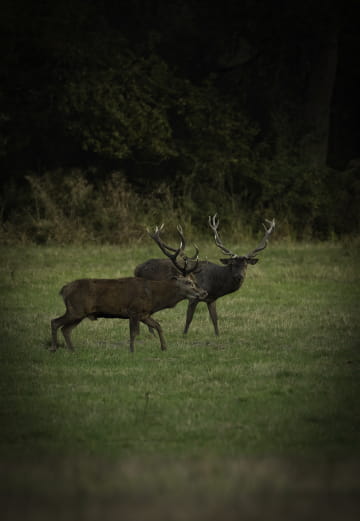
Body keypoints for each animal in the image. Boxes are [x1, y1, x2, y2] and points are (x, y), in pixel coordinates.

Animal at [51, 225, 207, 352]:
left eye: (194, 280)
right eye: (189, 282)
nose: (203, 292)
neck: (154, 297)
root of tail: (63, 290)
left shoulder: (145, 314)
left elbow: (158, 326)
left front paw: (164, 348)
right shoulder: (134, 310)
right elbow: (134, 333)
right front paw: (132, 351)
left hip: (79, 312)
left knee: (65, 329)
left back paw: (72, 350)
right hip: (76, 309)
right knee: (55, 322)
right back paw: (55, 348)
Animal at [135, 214, 276, 334]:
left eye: (246, 265)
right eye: (232, 264)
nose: (239, 276)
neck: (215, 284)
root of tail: (136, 269)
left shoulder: (211, 299)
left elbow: (215, 319)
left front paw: (218, 335)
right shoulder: (194, 297)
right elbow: (189, 318)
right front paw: (184, 335)